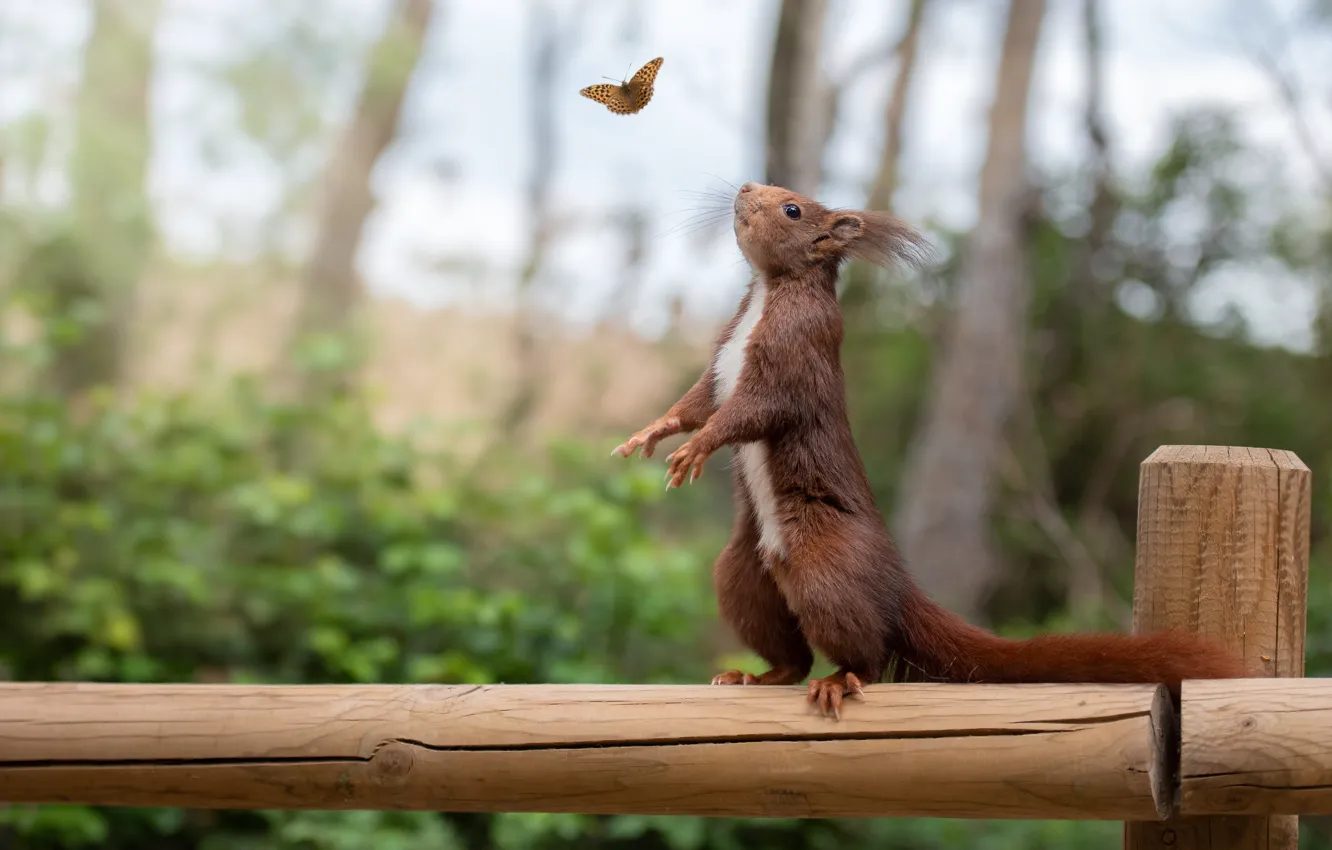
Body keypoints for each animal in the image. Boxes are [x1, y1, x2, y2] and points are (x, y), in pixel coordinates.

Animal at [613, 181, 1244, 718]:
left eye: (792, 208)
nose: (744, 187)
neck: (770, 291)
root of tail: (897, 588)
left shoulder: (795, 352)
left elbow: (749, 412)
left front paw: (695, 449)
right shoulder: (721, 358)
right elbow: (697, 401)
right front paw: (653, 432)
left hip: (823, 570)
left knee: (864, 653)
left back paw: (839, 680)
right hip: (744, 576)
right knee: (790, 655)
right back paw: (753, 675)